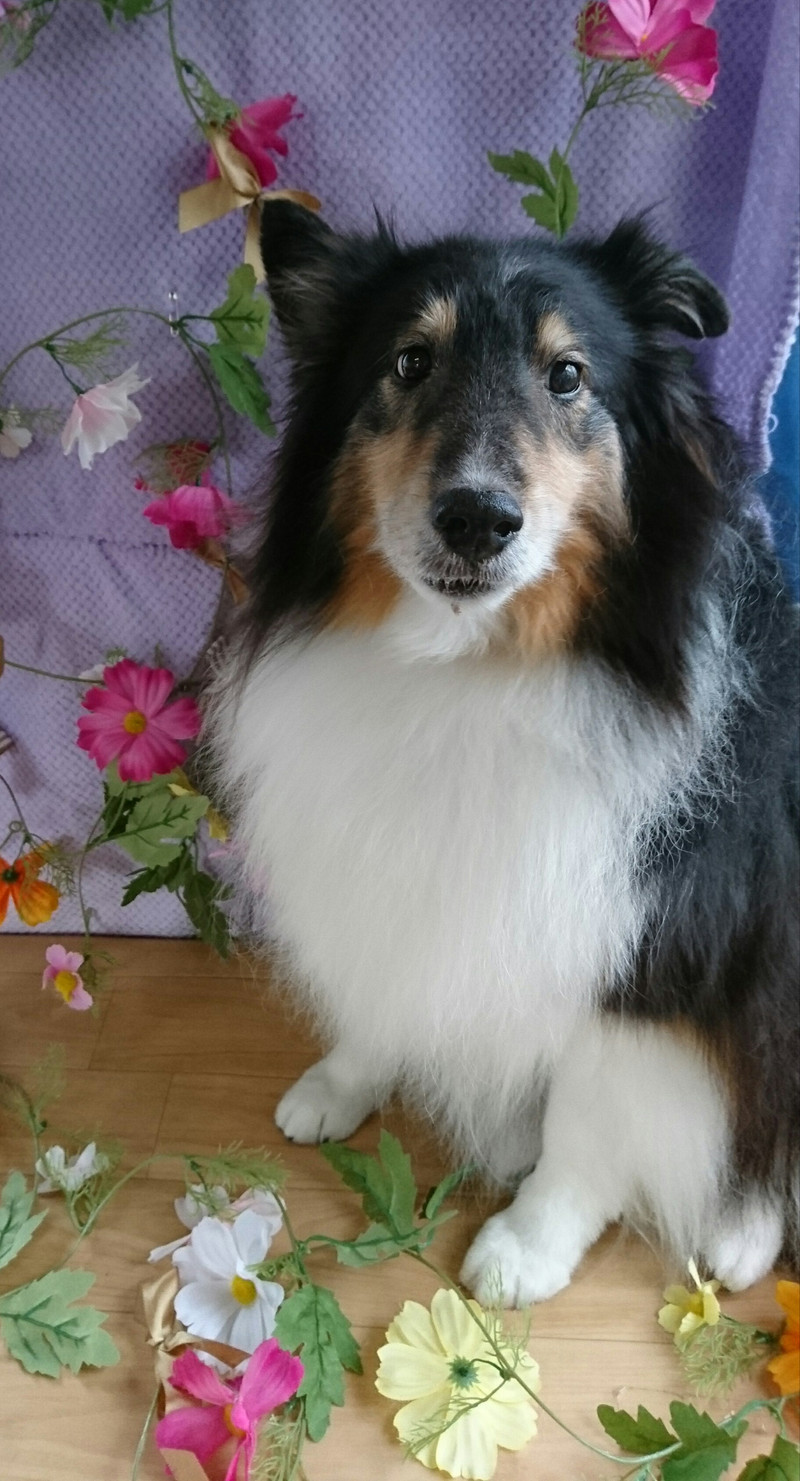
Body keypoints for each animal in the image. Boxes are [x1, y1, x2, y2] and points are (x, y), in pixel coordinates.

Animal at [209, 201, 799, 1306]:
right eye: (407, 361)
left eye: (566, 375)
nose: (475, 519)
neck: (468, 671)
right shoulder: (394, 873)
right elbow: (383, 987)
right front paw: (341, 1083)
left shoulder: (639, 956)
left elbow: (585, 1120)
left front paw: (526, 1245)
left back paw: (738, 1239)